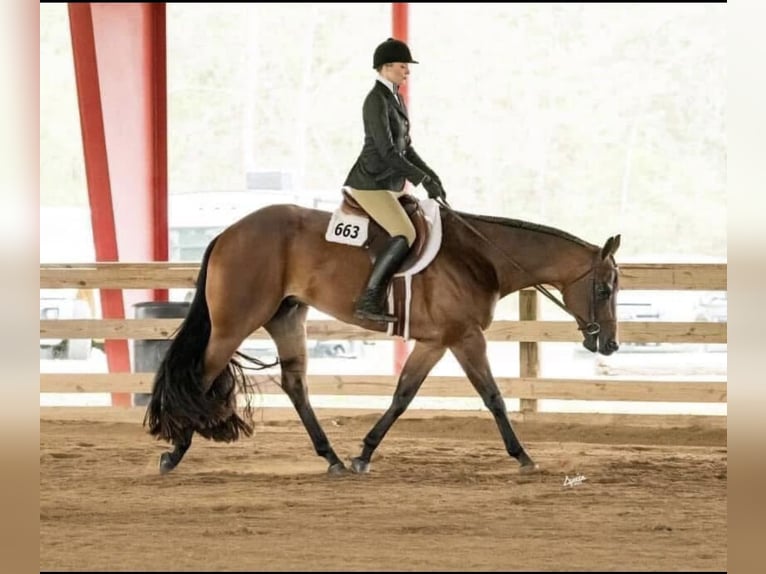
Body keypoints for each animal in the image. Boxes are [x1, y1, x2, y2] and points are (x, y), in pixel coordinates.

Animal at [144, 198, 621, 476]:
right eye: (604, 289)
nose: (610, 344)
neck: (479, 256)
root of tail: (228, 233)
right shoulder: (465, 337)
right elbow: (493, 397)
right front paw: (522, 456)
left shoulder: (435, 342)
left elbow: (402, 396)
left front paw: (363, 454)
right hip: (235, 322)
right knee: (201, 376)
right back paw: (175, 452)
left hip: (286, 318)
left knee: (294, 384)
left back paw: (333, 458)